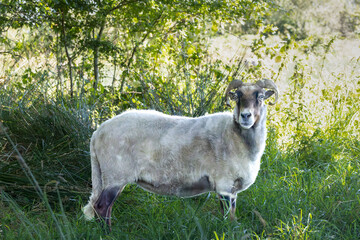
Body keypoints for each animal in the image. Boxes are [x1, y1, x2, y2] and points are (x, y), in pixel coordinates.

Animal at [83, 78, 278, 229]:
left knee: (102, 207)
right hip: (115, 174)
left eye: (260, 96)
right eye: (237, 96)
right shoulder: (224, 184)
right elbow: (228, 217)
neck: (236, 136)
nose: (245, 116)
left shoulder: (232, 189)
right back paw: (108, 233)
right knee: (102, 207)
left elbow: (231, 215)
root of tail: (97, 133)